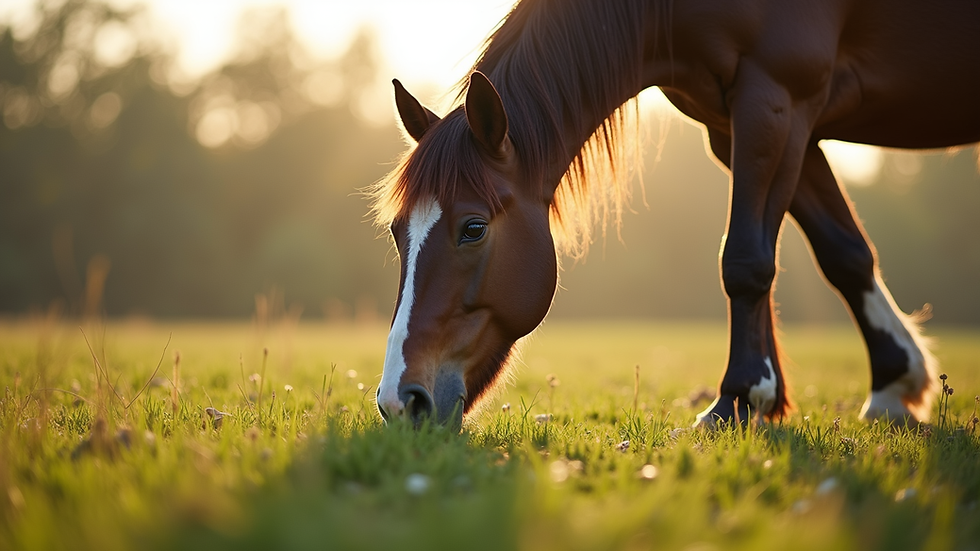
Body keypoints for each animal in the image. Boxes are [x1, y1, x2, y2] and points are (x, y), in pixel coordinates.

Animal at [370, 0, 980, 429]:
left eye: (473, 228)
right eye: (397, 233)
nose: (401, 401)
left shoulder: (776, 96)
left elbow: (746, 259)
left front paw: (738, 400)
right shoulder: (748, 122)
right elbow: (844, 253)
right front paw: (894, 384)